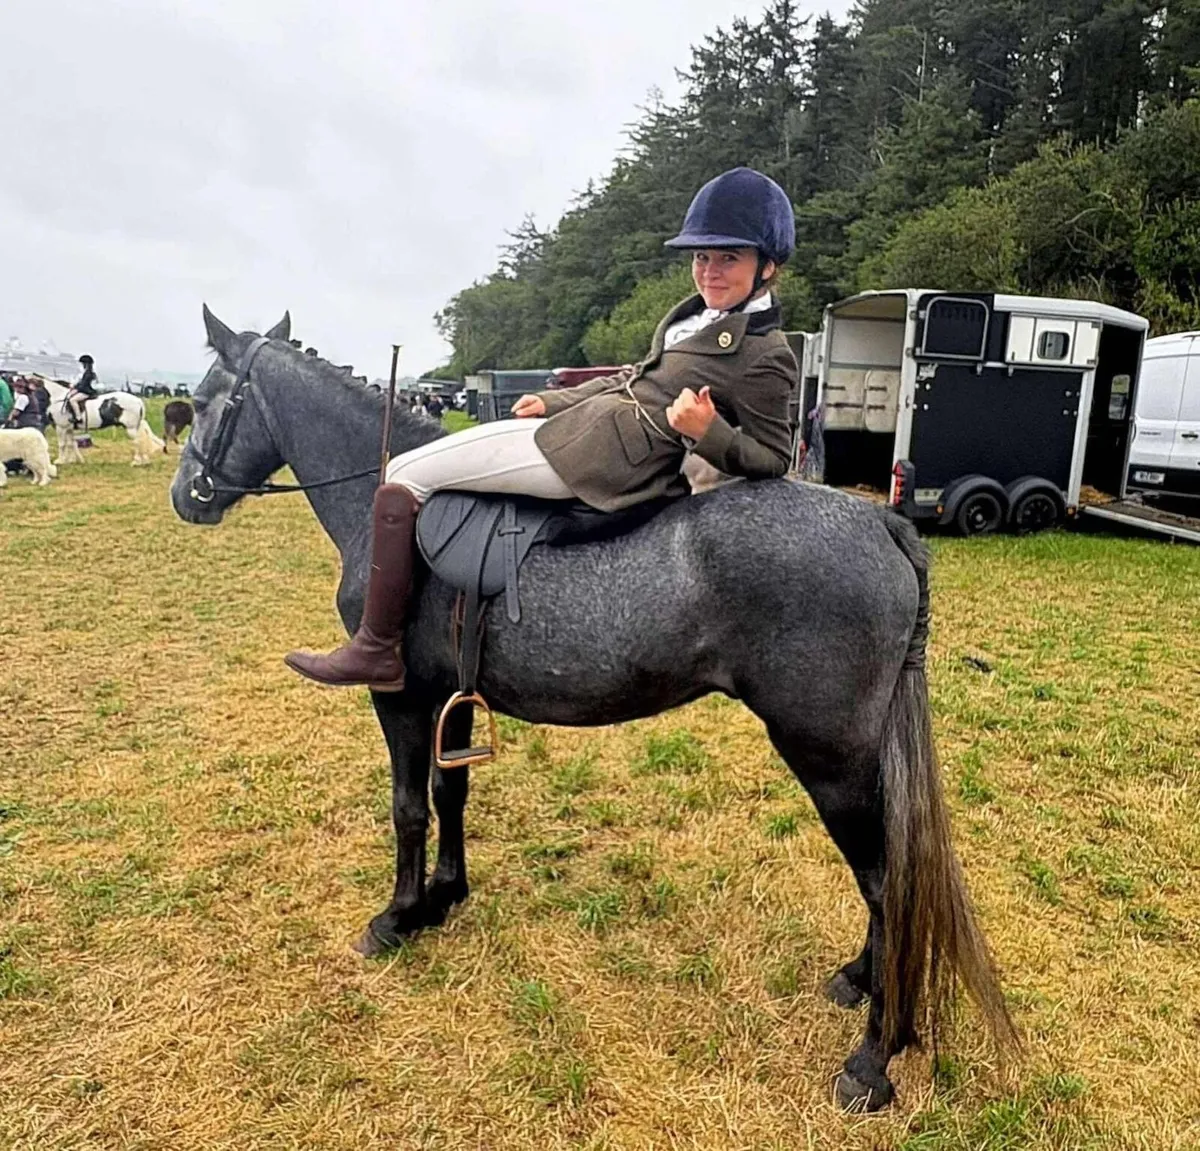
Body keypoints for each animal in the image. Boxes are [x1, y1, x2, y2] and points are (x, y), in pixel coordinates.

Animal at [169, 308, 1017, 1112]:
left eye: (205, 401)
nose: (185, 497)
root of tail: (880, 519)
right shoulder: (451, 694)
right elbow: (451, 792)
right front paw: (445, 895)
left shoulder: (401, 696)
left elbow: (408, 806)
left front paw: (398, 915)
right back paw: (860, 978)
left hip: (829, 757)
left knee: (886, 880)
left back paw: (872, 1059)